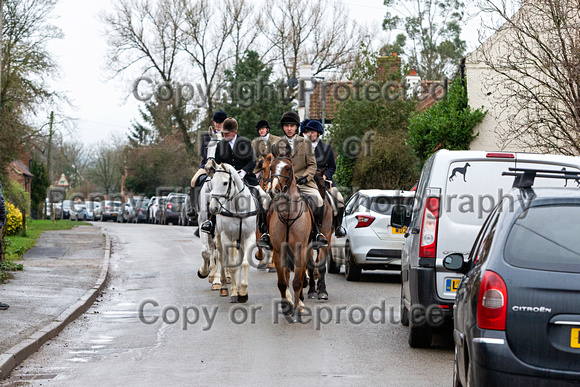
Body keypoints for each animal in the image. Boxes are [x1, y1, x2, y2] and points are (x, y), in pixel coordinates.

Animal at [268, 156, 312, 322]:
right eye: (271, 167)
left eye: (287, 168)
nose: (274, 191)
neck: (288, 215)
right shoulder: (278, 251)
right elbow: (282, 282)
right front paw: (286, 306)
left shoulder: (301, 250)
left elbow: (297, 282)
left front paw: (297, 308)